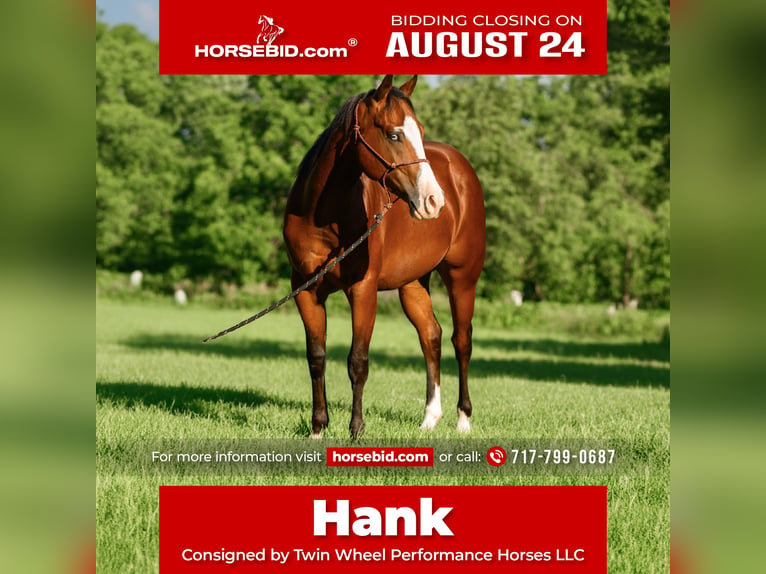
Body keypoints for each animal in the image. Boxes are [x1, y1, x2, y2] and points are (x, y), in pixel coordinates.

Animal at [283, 75, 486, 438]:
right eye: (393, 134)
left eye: (420, 130)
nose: (434, 200)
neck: (321, 218)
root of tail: (459, 167)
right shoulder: (305, 290)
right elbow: (316, 357)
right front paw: (318, 428)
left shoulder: (363, 291)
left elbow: (358, 361)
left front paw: (356, 430)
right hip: (413, 284)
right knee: (431, 336)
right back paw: (429, 418)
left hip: (462, 278)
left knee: (461, 340)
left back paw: (463, 420)